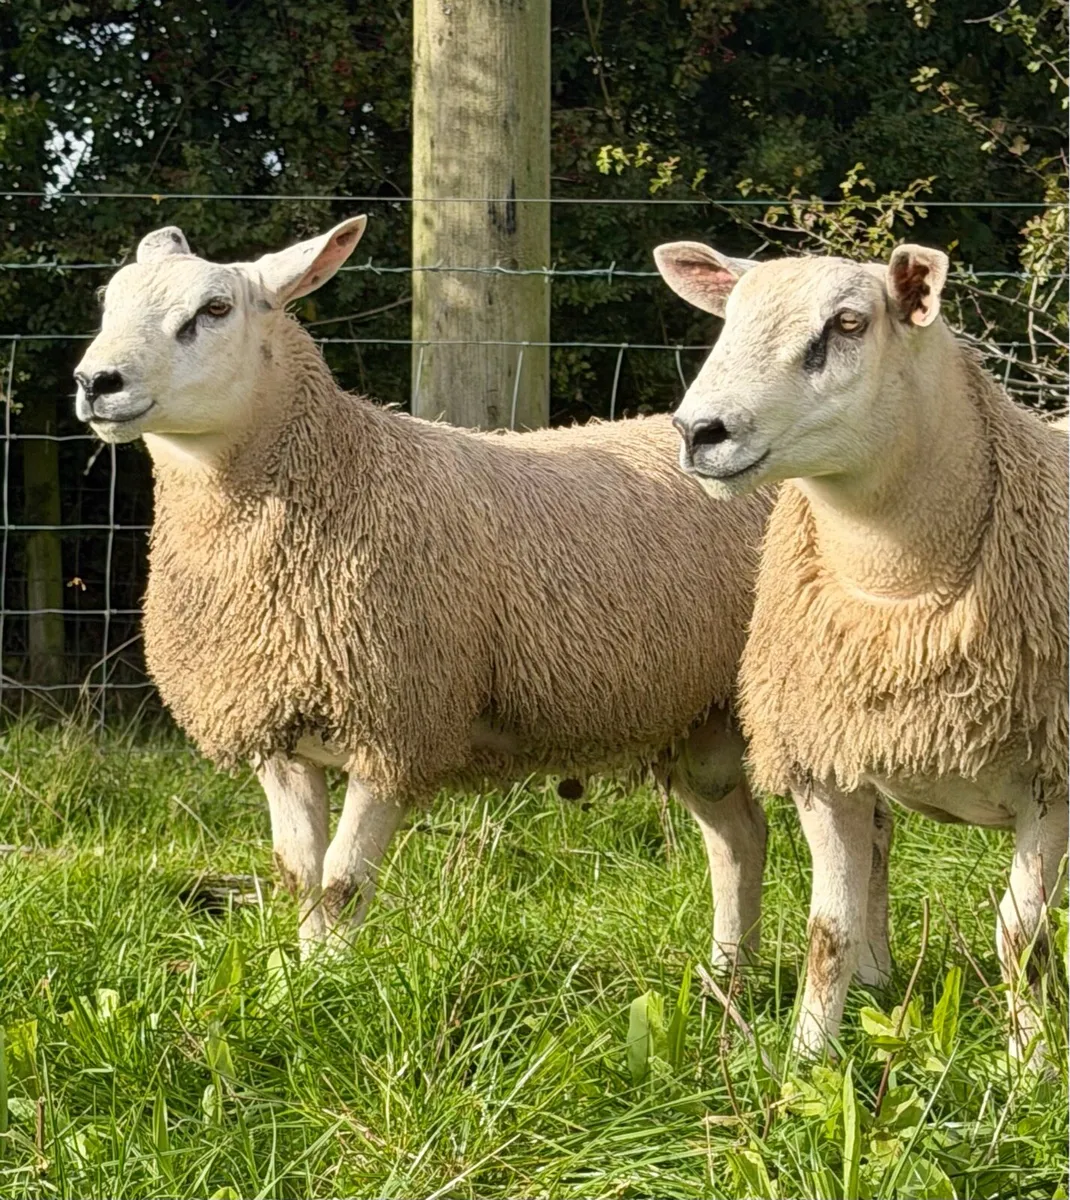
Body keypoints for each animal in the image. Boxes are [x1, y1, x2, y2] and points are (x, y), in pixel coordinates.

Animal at [73, 216, 775, 965]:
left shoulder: (399, 725)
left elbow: (342, 883)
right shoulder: (276, 730)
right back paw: (727, 973)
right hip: (701, 716)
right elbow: (299, 877)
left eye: (214, 309)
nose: (96, 381)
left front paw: (330, 980)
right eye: (109, 300)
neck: (339, 473)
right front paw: (296, 978)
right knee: (738, 835)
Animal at [656, 240, 1068, 1064]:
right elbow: (829, 931)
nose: (699, 432)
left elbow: (1023, 939)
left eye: (849, 323)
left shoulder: (1054, 778)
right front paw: (807, 1060)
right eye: (729, 315)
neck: (900, 596)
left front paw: (1031, 1067)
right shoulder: (824, 765)